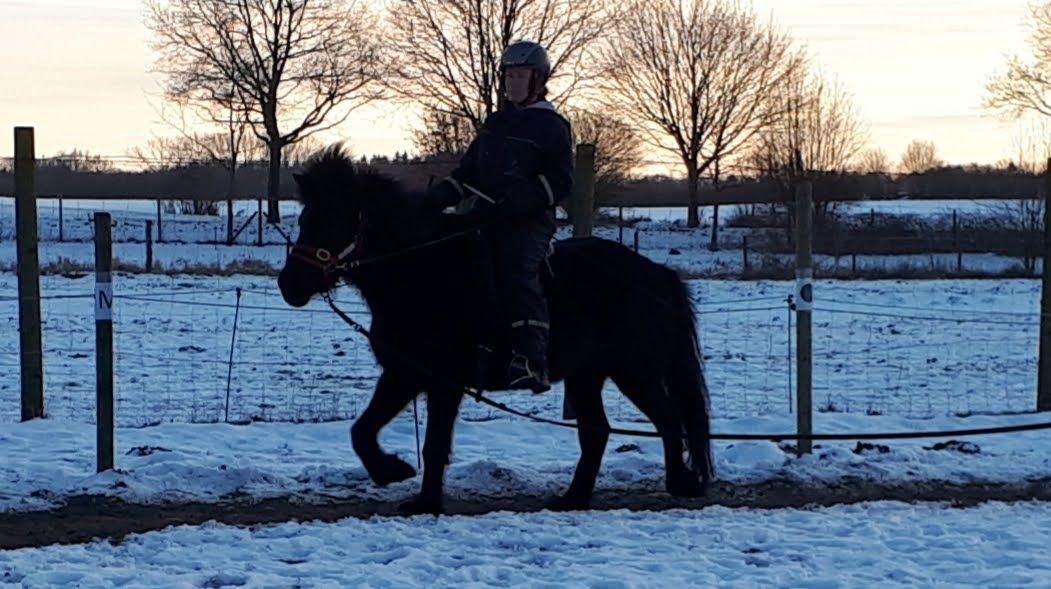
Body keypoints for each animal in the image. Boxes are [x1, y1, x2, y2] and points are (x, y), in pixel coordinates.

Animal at [277, 146, 714, 514]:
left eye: (335, 219)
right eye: (305, 219)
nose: (290, 284)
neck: (425, 275)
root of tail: (657, 274)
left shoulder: (442, 381)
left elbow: (433, 444)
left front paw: (425, 502)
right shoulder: (405, 373)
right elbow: (363, 430)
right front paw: (394, 472)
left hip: (635, 372)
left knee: (668, 420)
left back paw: (680, 484)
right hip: (587, 376)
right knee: (599, 433)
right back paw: (572, 498)